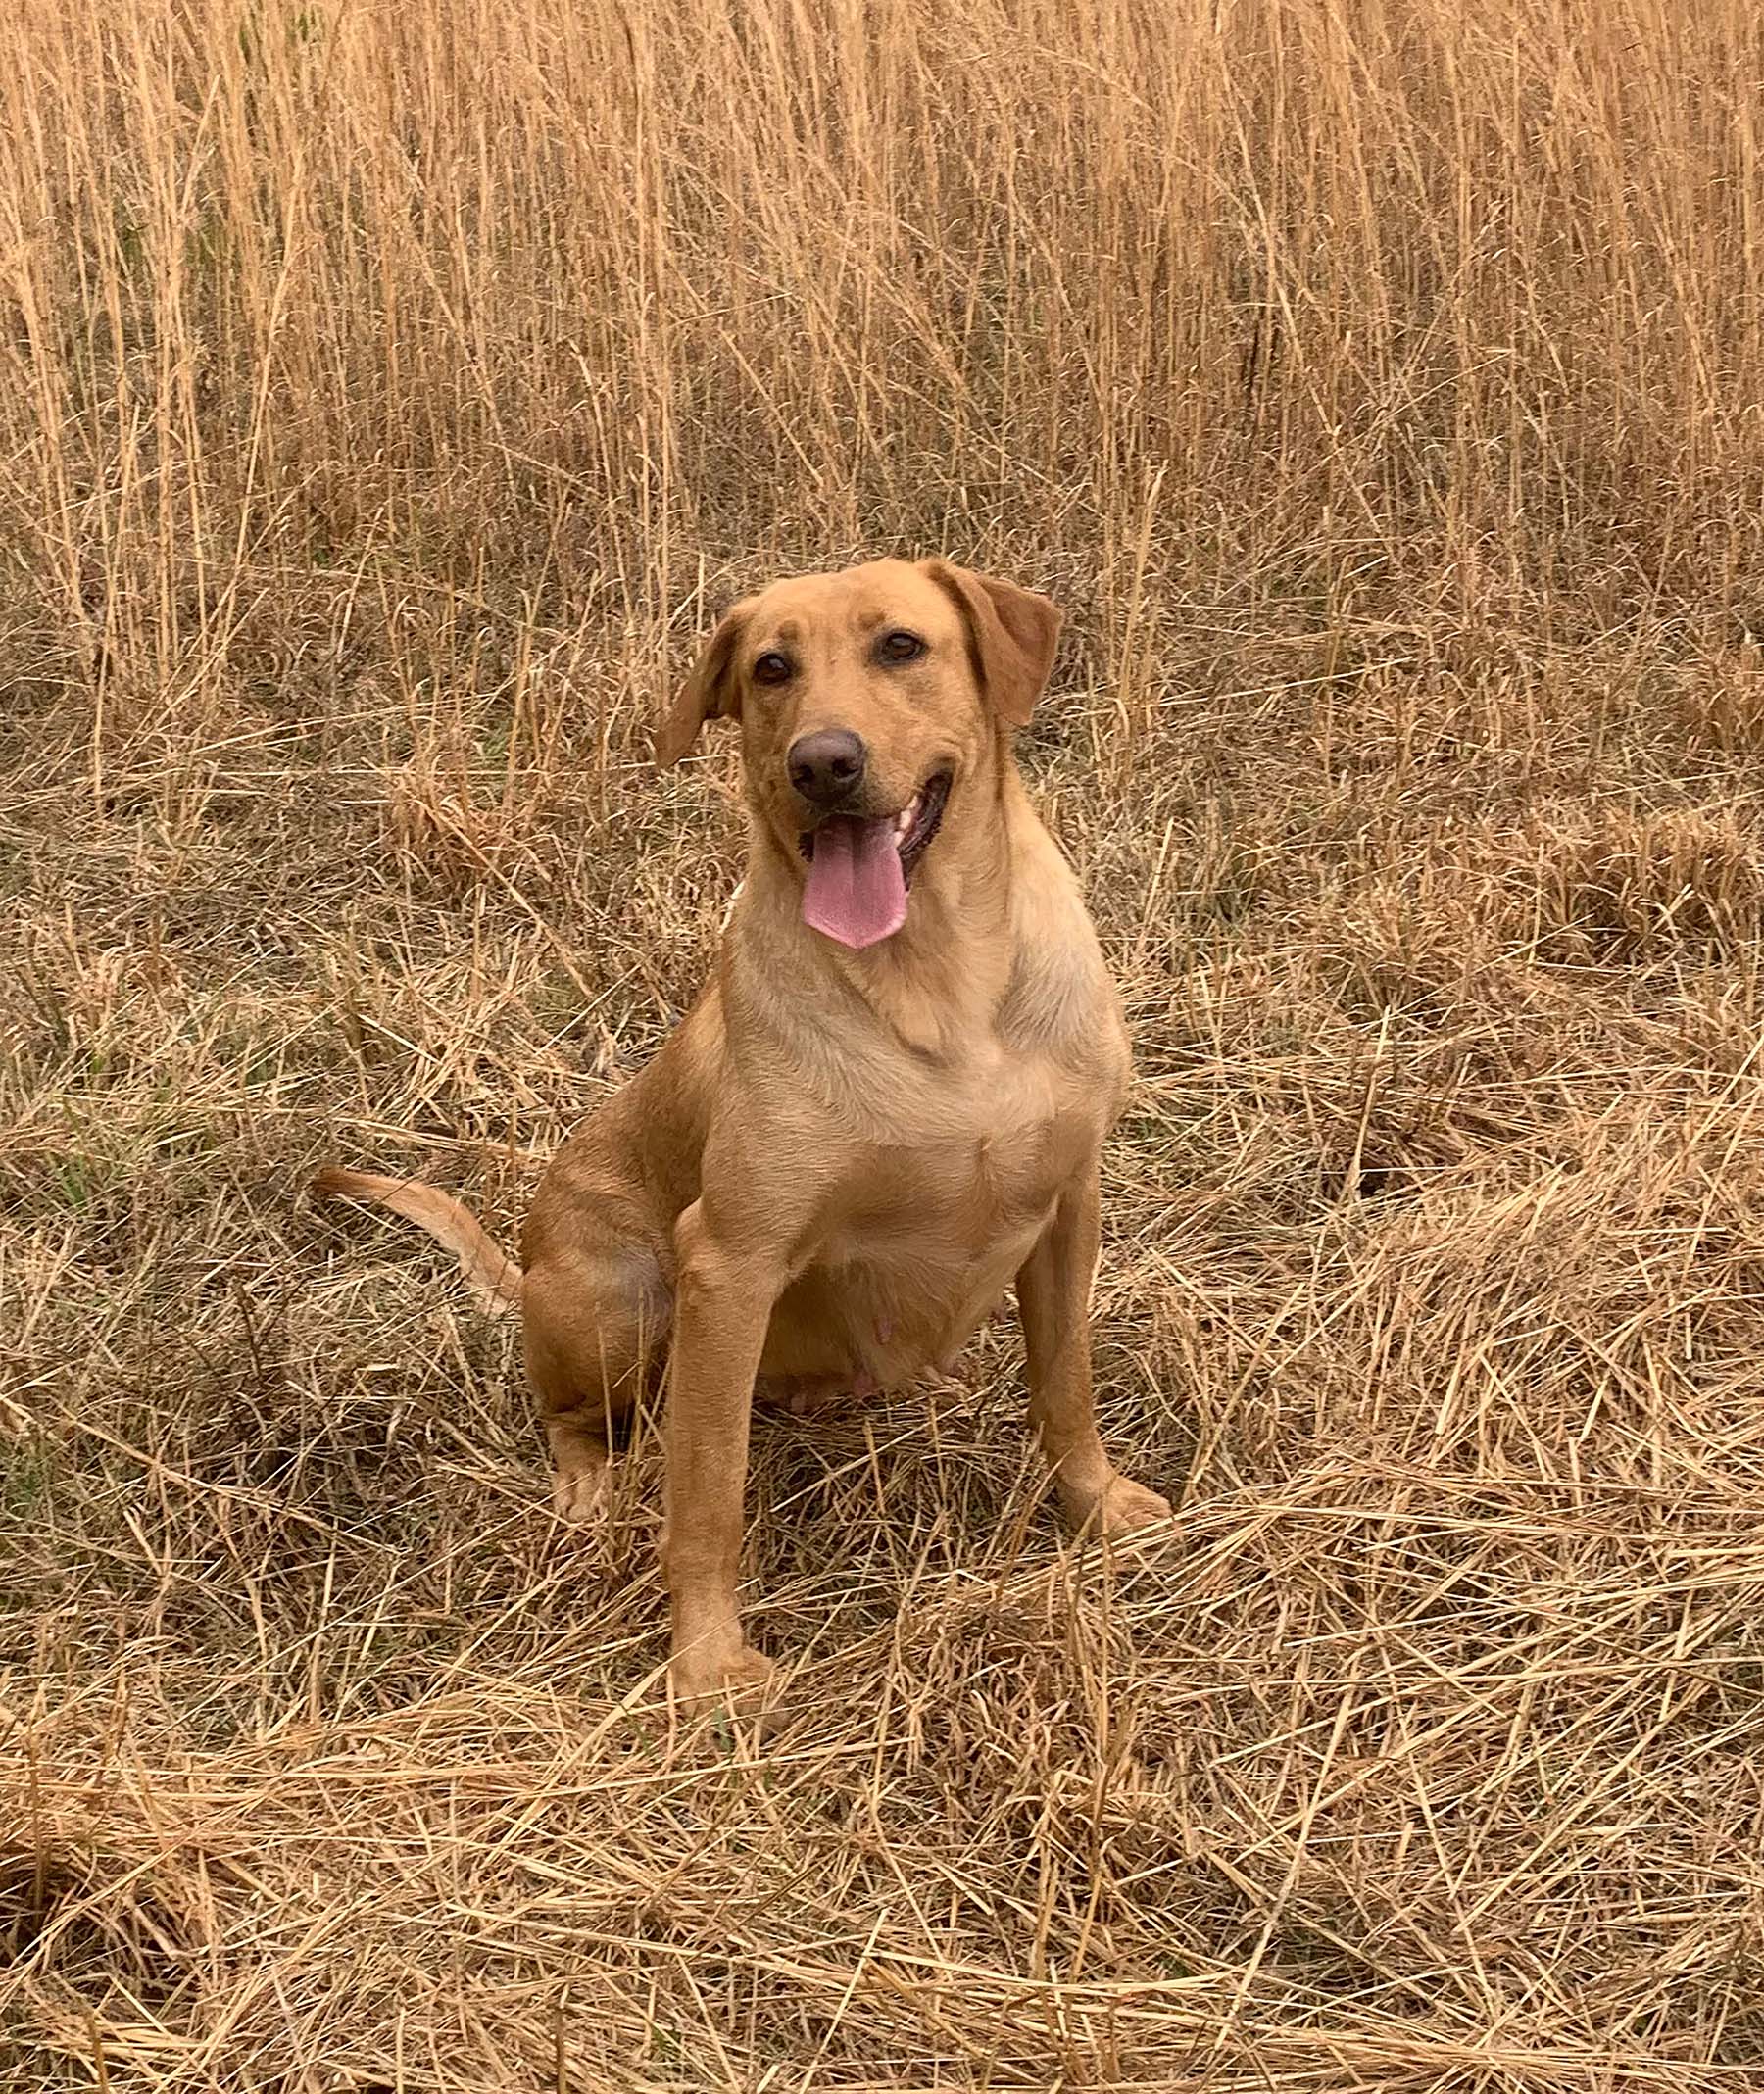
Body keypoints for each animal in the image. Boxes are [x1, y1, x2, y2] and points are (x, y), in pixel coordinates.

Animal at [316, 557, 1164, 1700]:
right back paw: (589, 1489)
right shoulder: (730, 1263)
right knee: (577, 1417)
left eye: (902, 645)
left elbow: (1066, 1385)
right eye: (771, 669)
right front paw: (709, 1660)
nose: (823, 763)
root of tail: (527, 1262)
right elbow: (708, 1490)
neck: (938, 973)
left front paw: (1098, 1504)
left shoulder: (1071, 1202)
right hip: (619, 1300)